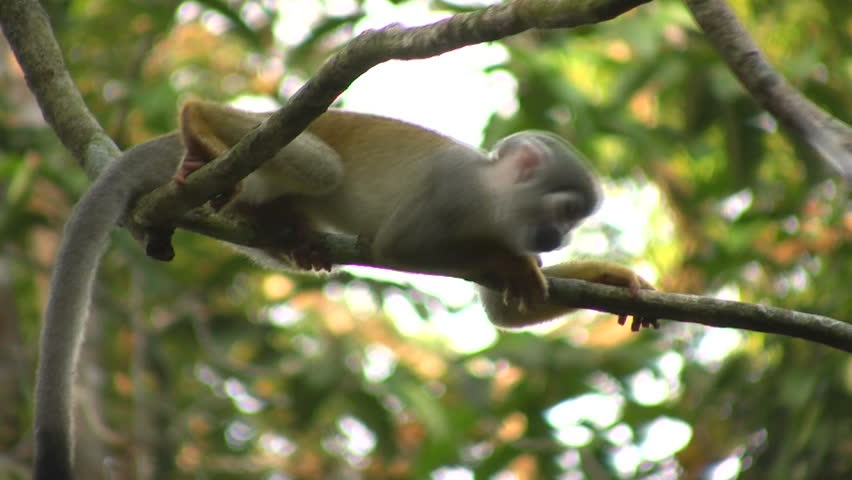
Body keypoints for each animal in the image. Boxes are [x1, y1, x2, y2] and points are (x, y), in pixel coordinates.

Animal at [34, 100, 653, 480]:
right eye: (565, 211)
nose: (557, 237)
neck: (494, 199)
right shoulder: (453, 190)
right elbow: (398, 245)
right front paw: (514, 263)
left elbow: (501, 313)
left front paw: (610, 278)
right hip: (267, 142)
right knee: (322, 165)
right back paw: (199, 124)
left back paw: (282, 227)